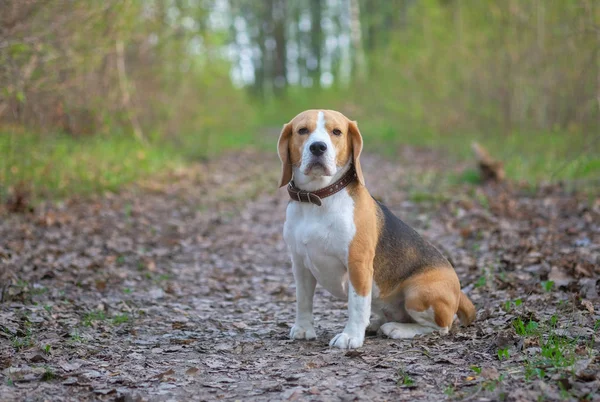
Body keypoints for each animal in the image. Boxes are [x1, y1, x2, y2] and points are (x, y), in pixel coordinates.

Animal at [278, 109, 476, 348]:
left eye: (337, 132)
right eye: (302, 130)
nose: (318, 147)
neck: (318, 198)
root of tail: (459, 290)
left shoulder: (358, 264)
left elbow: (357, 304)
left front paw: (351, 336)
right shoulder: (300, 264)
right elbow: (303, 301)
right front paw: (303, 329)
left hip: (419, 292)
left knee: (441, 327)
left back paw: (397, 329)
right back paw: (376, 324)